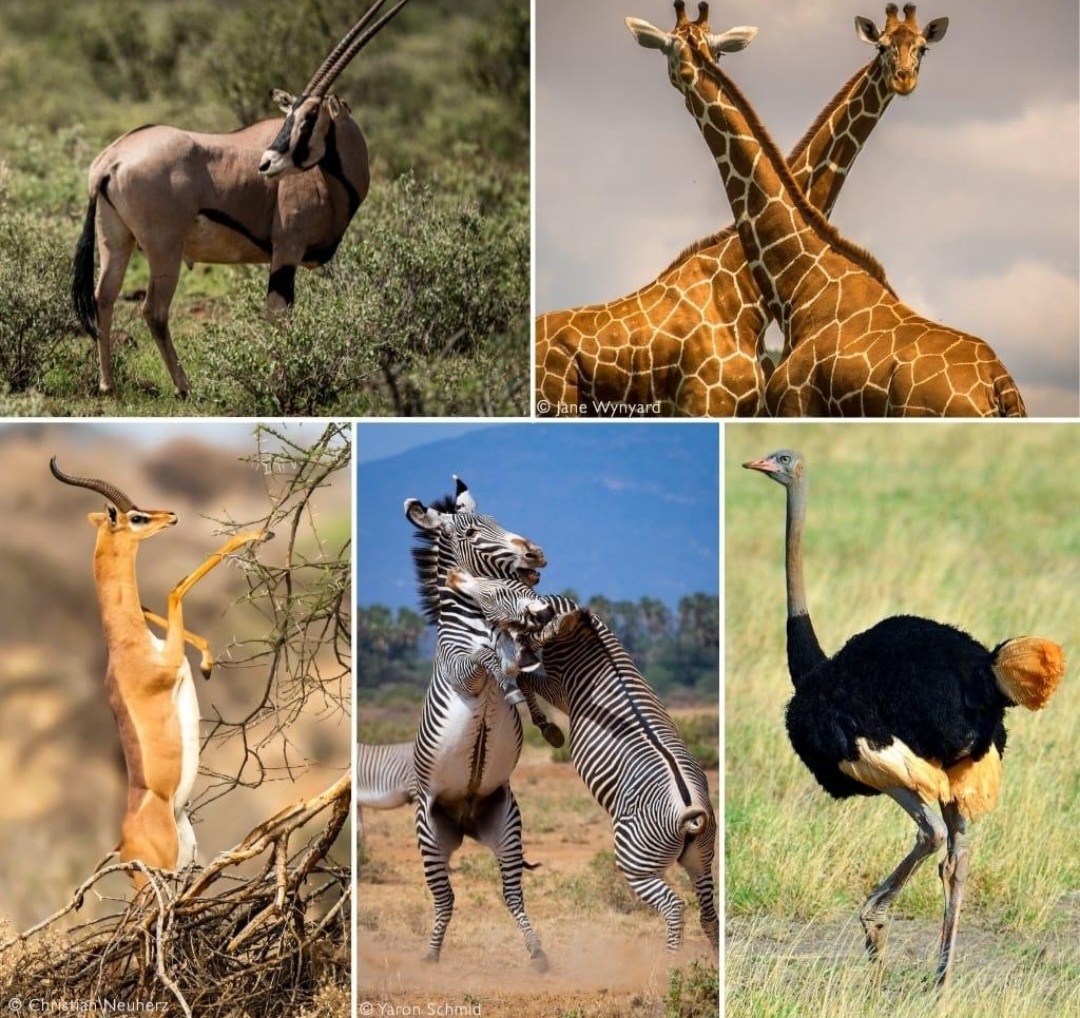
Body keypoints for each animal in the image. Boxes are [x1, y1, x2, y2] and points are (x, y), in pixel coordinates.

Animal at [404, 482, 558, 970]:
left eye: (499, 519)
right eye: (472, 531)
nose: (536, 552)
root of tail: (466, 819)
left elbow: (525, 671)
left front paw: (543, 721)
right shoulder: (460, 671)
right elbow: (488, 661)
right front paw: (507, 678)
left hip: (505, 823)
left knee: (511, 895)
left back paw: (538, 954)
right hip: (430, 834)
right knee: (445, 899)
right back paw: (431, 955)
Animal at [450, 569, 720, 953]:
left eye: (496, 593)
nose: (456, 578)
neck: (585, 636)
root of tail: (689, 812)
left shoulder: (558, 687)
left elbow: (525, 680)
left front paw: (549, 729)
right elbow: (524, 677)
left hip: (637, 862)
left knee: (674, 907)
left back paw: (671, 963)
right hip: (701, 858)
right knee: (708, 913)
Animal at [627, 2, 1026, 417]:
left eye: (922, 49)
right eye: (882, 46)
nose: (904, 80)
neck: (801, 281)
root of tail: (1001, 388)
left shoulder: (790, 402)